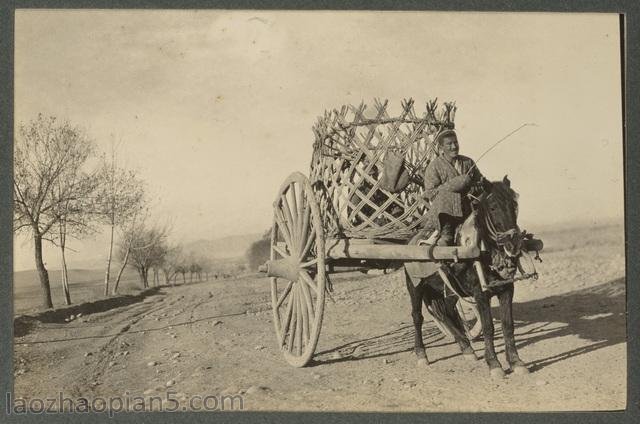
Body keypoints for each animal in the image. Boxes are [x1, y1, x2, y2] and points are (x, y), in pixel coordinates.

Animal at [404, 176, 528, 378]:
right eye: (492, 207)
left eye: (514, 204)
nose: (513, 244)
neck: (482, 250)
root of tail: (411, 241)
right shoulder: (480, 294)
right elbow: (488, 327)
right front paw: (494, 364)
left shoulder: (507, 289)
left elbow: (508, 325)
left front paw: (516, 362)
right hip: (415, 286)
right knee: (417, 317)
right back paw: (421, 354)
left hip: (449, 291)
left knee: (446, 313)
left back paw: (466, 348)